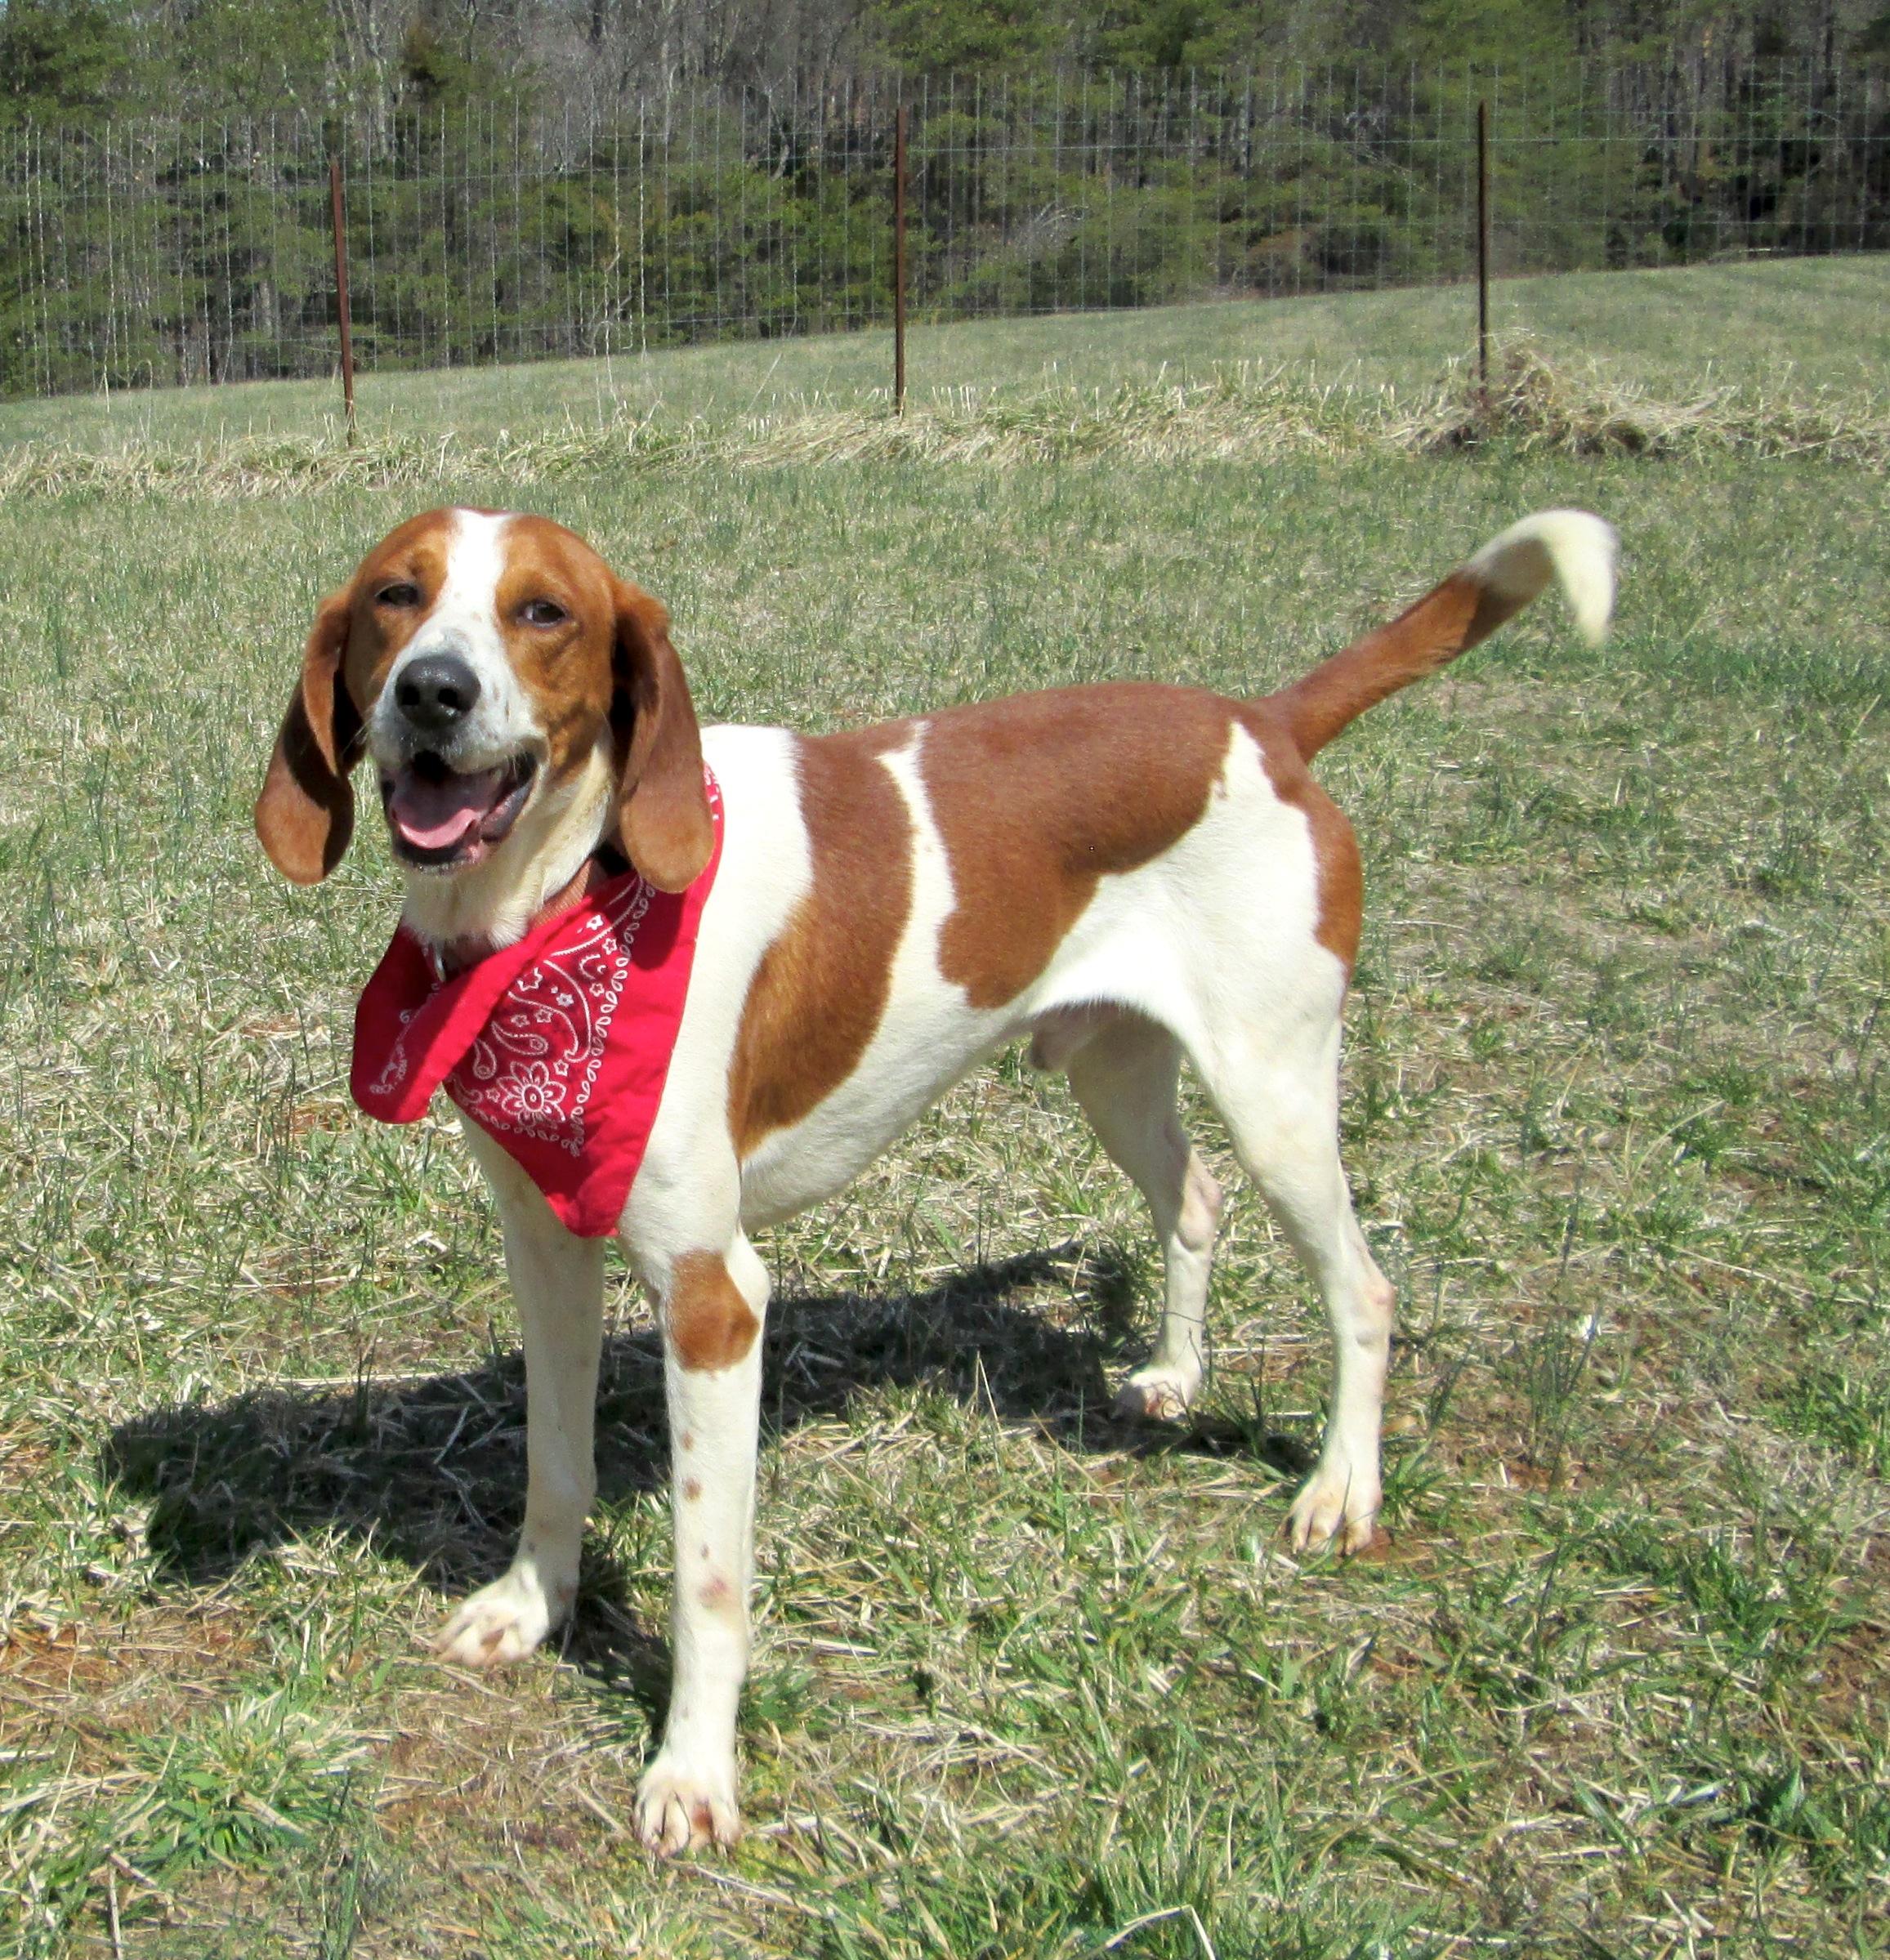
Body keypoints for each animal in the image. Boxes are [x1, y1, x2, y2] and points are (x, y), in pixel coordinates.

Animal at [247, 502, 1607, 1850]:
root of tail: (1262, 723)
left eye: (544, 611)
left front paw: (694, 1769)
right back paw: (1175, 1372)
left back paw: (1340, 1487)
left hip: (1274, 1089)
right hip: (1116, 1068)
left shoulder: (713, 1296)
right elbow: (553, 1461)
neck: (570, 903)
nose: (431, 690)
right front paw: (534, 1605)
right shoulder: (546, 1240)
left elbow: (707, 1579)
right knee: (1195, 1199)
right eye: (395, 594)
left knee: (1363, 1290)